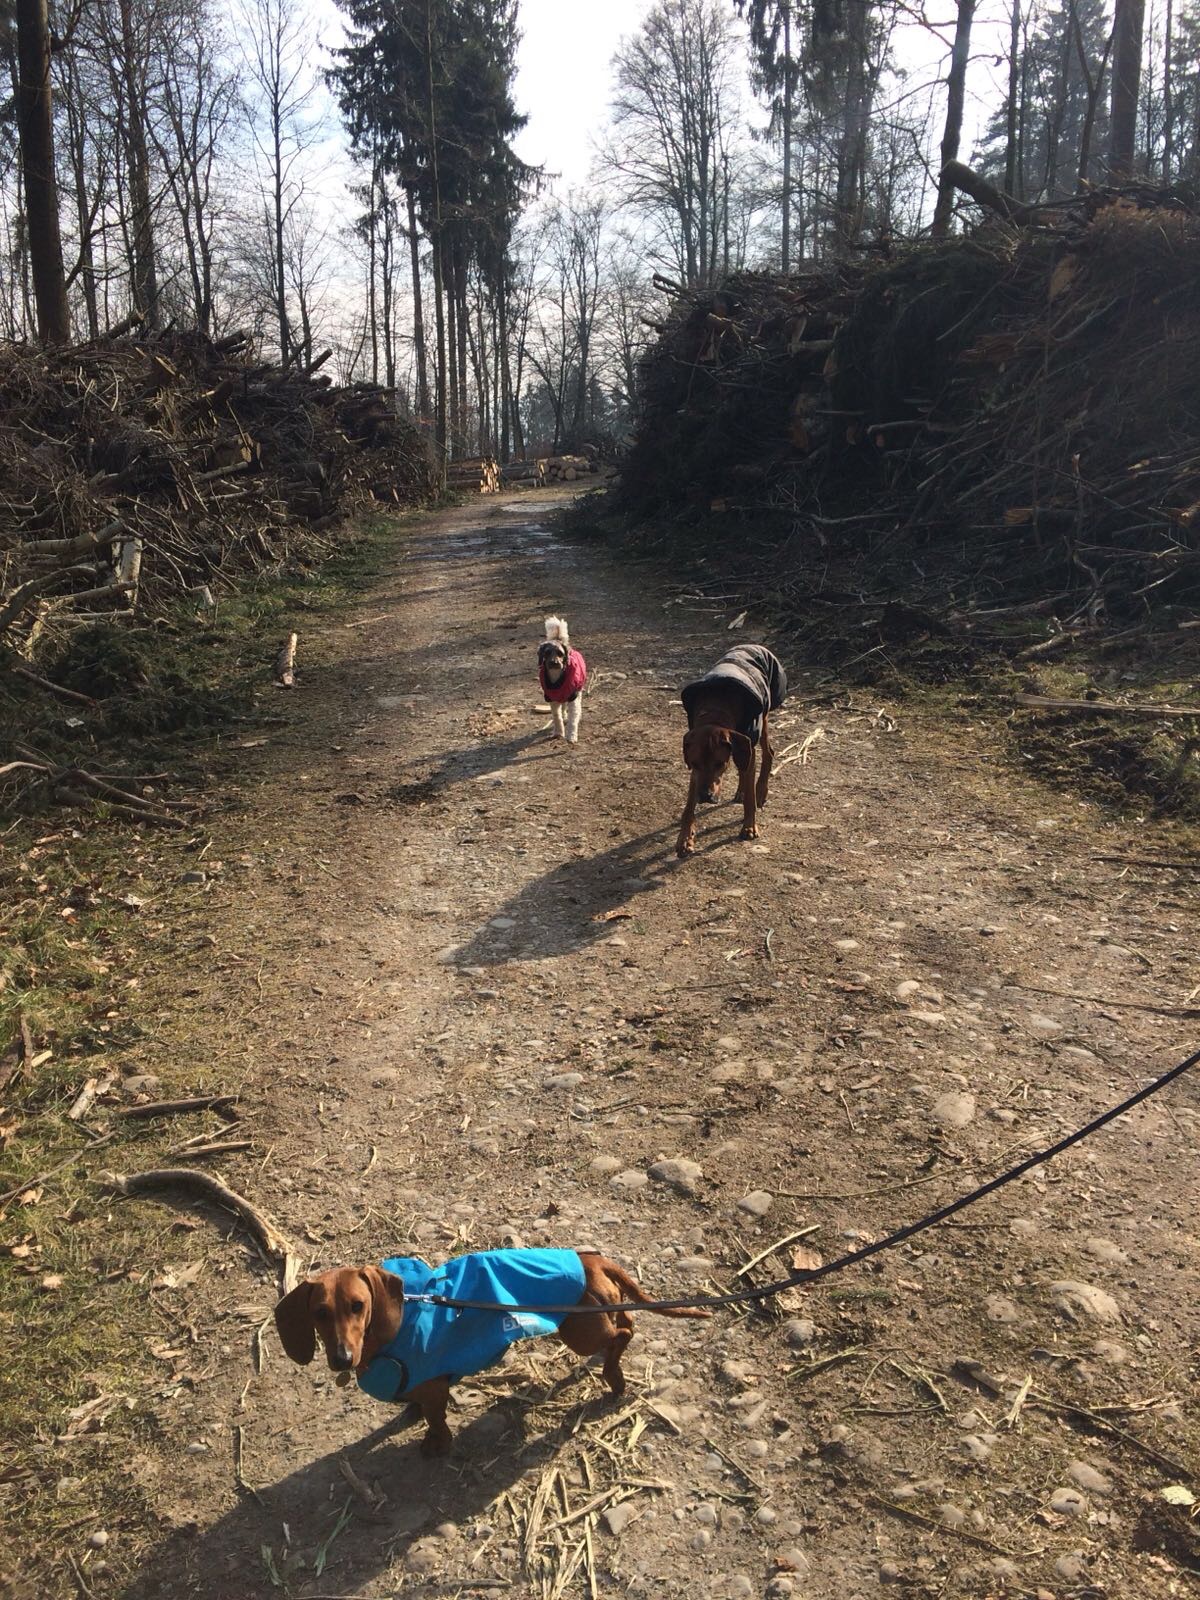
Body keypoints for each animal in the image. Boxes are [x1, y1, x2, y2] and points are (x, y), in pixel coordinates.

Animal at [275, 1247, 707, 1456]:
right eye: (319, 1312)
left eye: (358, 1305)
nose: (341, 1359)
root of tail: (592, 1259)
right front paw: (410, 1411)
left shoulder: (435, 1389)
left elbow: (436, 1419)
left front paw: (436, 1443)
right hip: (597, 1317)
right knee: (627, 1322)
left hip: (581, 1331)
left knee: (623, 1334)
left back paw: (613, 1376)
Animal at [676, 643, 788, 858]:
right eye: (694, 763)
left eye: (720, 764)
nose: (706, 797)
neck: (715, 709)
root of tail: (754, 645)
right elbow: (688, 806)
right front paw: (684, 839)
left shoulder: (748, 745)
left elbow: (750, 800)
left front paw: (749, 827)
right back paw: (740, 791)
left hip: (762, 720)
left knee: (768, 753)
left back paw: (761, 791)